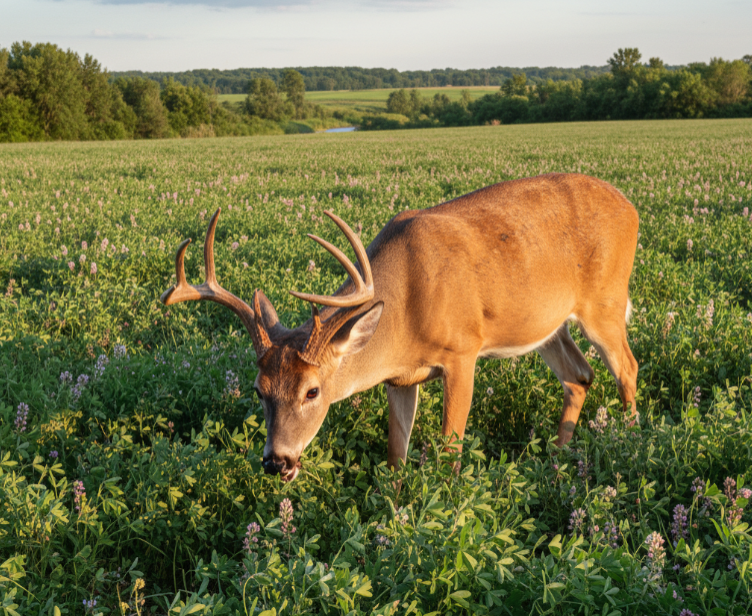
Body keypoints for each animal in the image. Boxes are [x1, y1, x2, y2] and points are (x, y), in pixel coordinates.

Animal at [161, 173, 639, 482]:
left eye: (312, 391)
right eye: (258, 390)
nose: (277, 461)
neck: (407, 308)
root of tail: (631, 207)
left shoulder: (463, 351)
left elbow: (450, 448)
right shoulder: (400, 379)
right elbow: (395, 455)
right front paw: (393, 513)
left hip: (605, 303)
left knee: (627, 368)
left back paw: (632, 442)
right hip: (549, 326)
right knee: (579, 376)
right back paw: (557, 459)